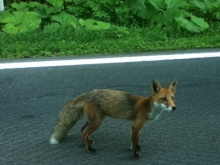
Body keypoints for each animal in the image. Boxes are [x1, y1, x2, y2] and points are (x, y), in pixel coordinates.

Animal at [49, 80, 177, 159]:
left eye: (172, 98)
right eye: (163, 99)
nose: (174, 108)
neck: (147, 107)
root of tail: (89, 93)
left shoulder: (140, 126)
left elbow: (136, 140)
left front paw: (136, 147)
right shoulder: (136, 126)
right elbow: (134, 142)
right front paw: (134, 155)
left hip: (94, 120)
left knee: (82, 129)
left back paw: (88, 143)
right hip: (97, 122)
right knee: (85, 132)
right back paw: (89, 149)